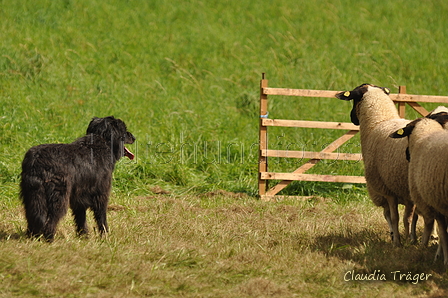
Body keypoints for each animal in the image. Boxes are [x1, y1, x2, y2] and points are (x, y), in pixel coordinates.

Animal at [336, 84, 416, 247]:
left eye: (353, 99)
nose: (352, 118)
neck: (379, 121)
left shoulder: (386, 188)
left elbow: (396, 217)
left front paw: (398, 242)